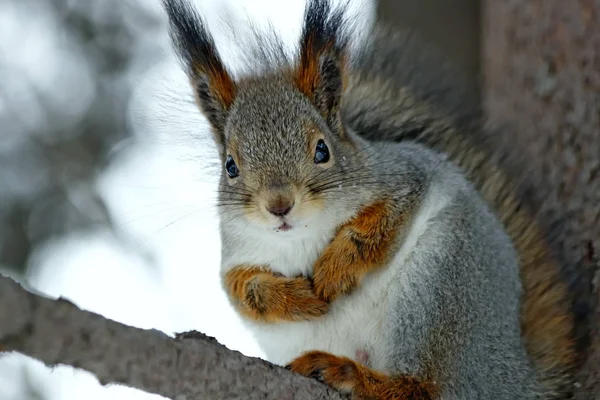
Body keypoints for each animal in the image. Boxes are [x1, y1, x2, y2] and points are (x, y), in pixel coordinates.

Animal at [162, 0, 580, 398]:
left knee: (429, 388)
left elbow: (383, 222)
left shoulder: (405, 175)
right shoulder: (237, 252)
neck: (302, 236)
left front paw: (335, 269)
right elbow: (242, 289)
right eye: (230, 166)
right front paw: (295, 297)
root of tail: (516, 377)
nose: (279, 206)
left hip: (442, 288)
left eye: (322, 150)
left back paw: (353, 377)